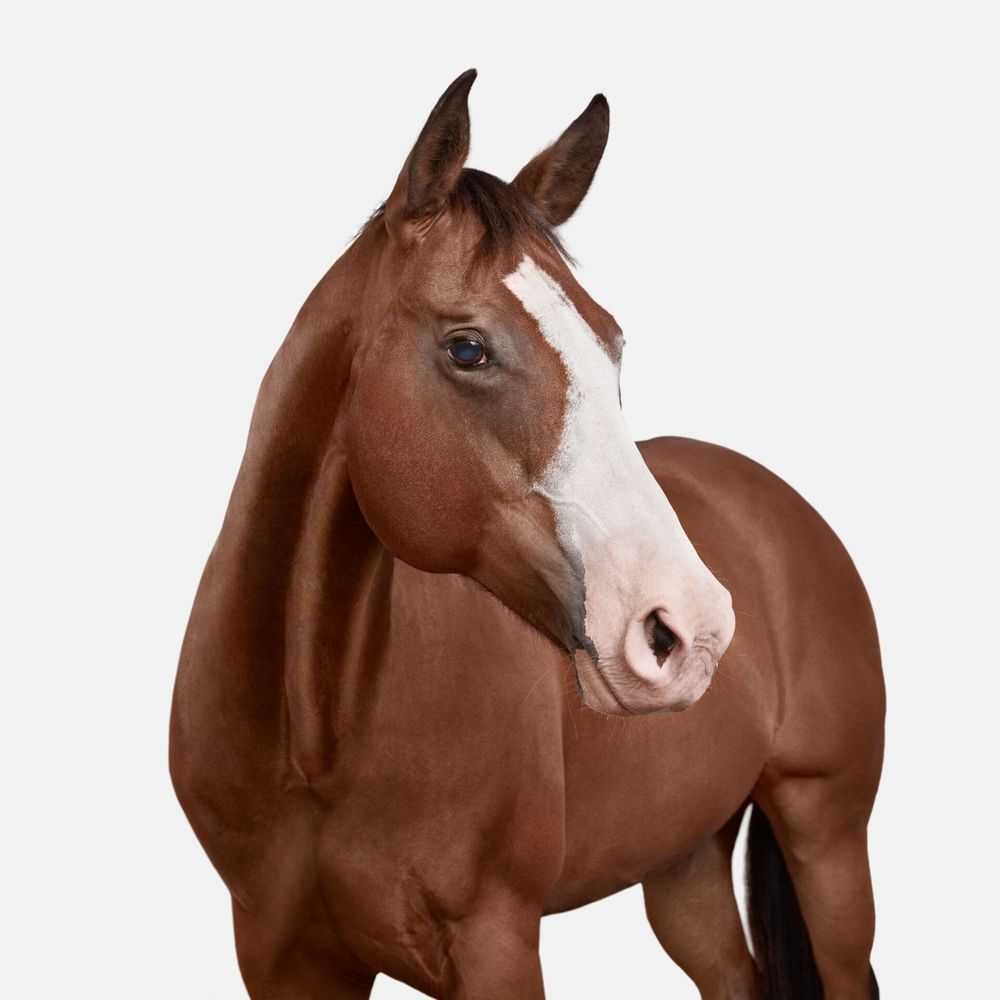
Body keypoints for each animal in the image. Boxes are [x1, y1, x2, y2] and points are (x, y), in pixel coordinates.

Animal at [170, 69, 884, 999]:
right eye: (468, 349)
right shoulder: (280, 954)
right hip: (685, 860)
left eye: (611, 343)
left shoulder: (497, 943)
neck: (318, 738)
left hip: (828, 836)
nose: (687, 630)